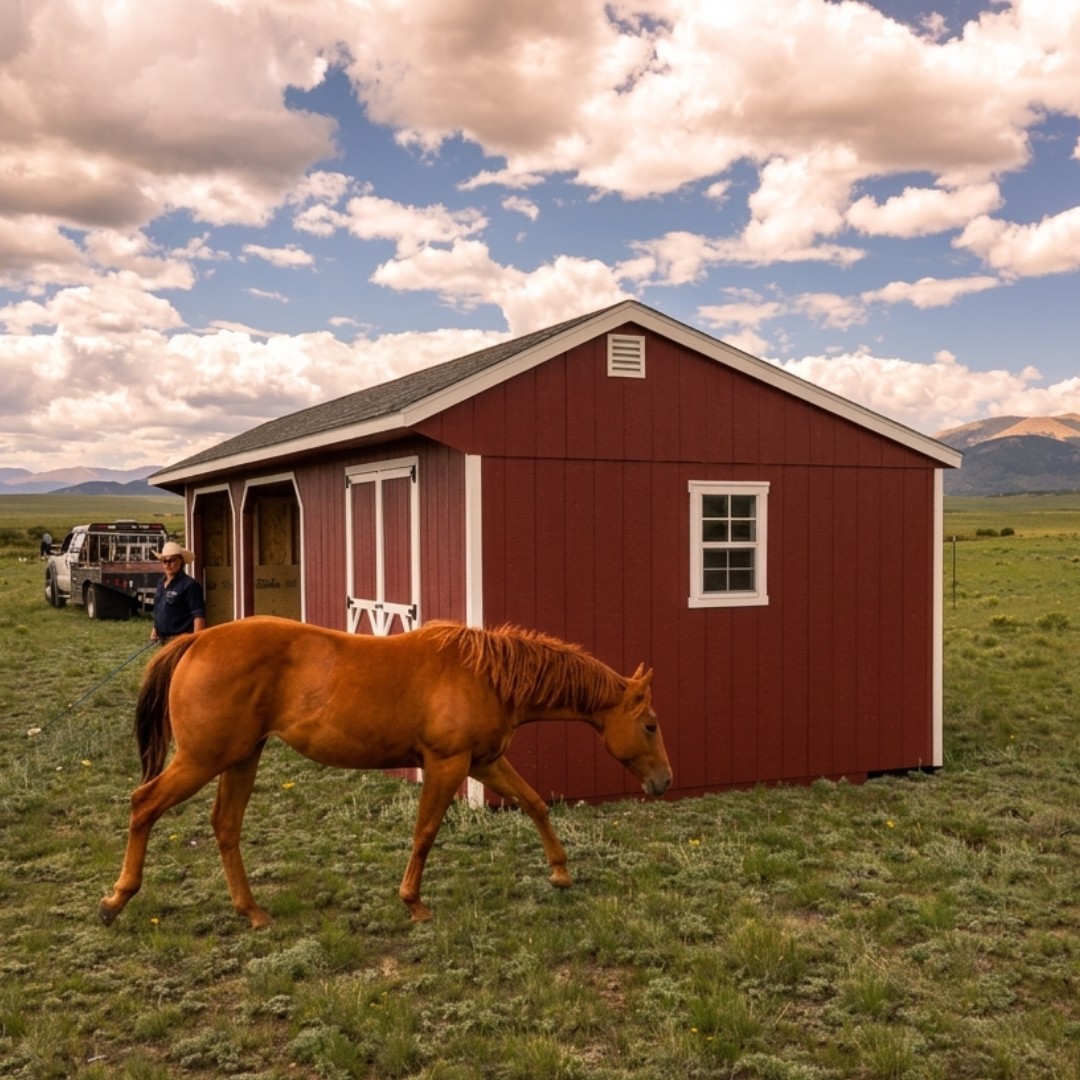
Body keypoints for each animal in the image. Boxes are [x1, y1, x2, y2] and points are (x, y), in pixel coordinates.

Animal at [99, 617, 672, 927]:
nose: (664, 781)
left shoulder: (484, 762)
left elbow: (534, 804)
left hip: (241, 758)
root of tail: (196, 641)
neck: (486, 675)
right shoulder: (447, 764)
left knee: (225, 826)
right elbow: (425, 832)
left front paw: (560, 872)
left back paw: (253, 911)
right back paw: (117, 899)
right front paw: (413, 902)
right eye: (650, 724)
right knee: (144, 805)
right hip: (202, 760)